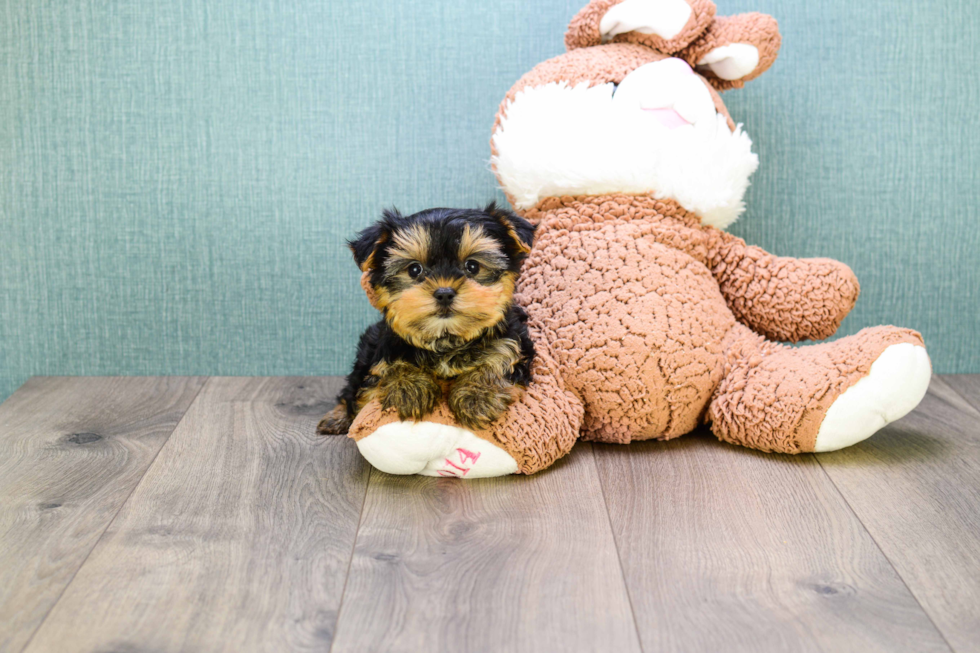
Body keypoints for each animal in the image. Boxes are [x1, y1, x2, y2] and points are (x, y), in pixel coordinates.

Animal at [318, 202, 536, 432]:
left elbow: (501, 355)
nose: (444, 293)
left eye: (473, 266)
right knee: (351, 388)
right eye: (414, 269)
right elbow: (390, 364)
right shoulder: (384, 346)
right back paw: (337, 417)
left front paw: (478, 395)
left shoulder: (513, 337)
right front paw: (409, 387)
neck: (446, 339)